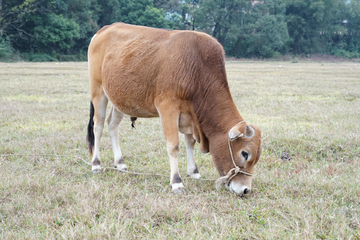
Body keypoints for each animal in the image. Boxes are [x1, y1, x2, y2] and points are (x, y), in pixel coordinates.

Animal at [87, 22, 262, 195]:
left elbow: (190, 142)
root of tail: (104, 29)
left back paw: (120, 163)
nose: (246, 189)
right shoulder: (167, 108)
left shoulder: (190, 115)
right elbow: (174, 146)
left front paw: (194, 172)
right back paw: (96, 164)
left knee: (112, 125)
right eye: (245, 153)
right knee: (98, 126)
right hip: (98, 90)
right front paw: (177, 182)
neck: (198, 67)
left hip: (120, 99)